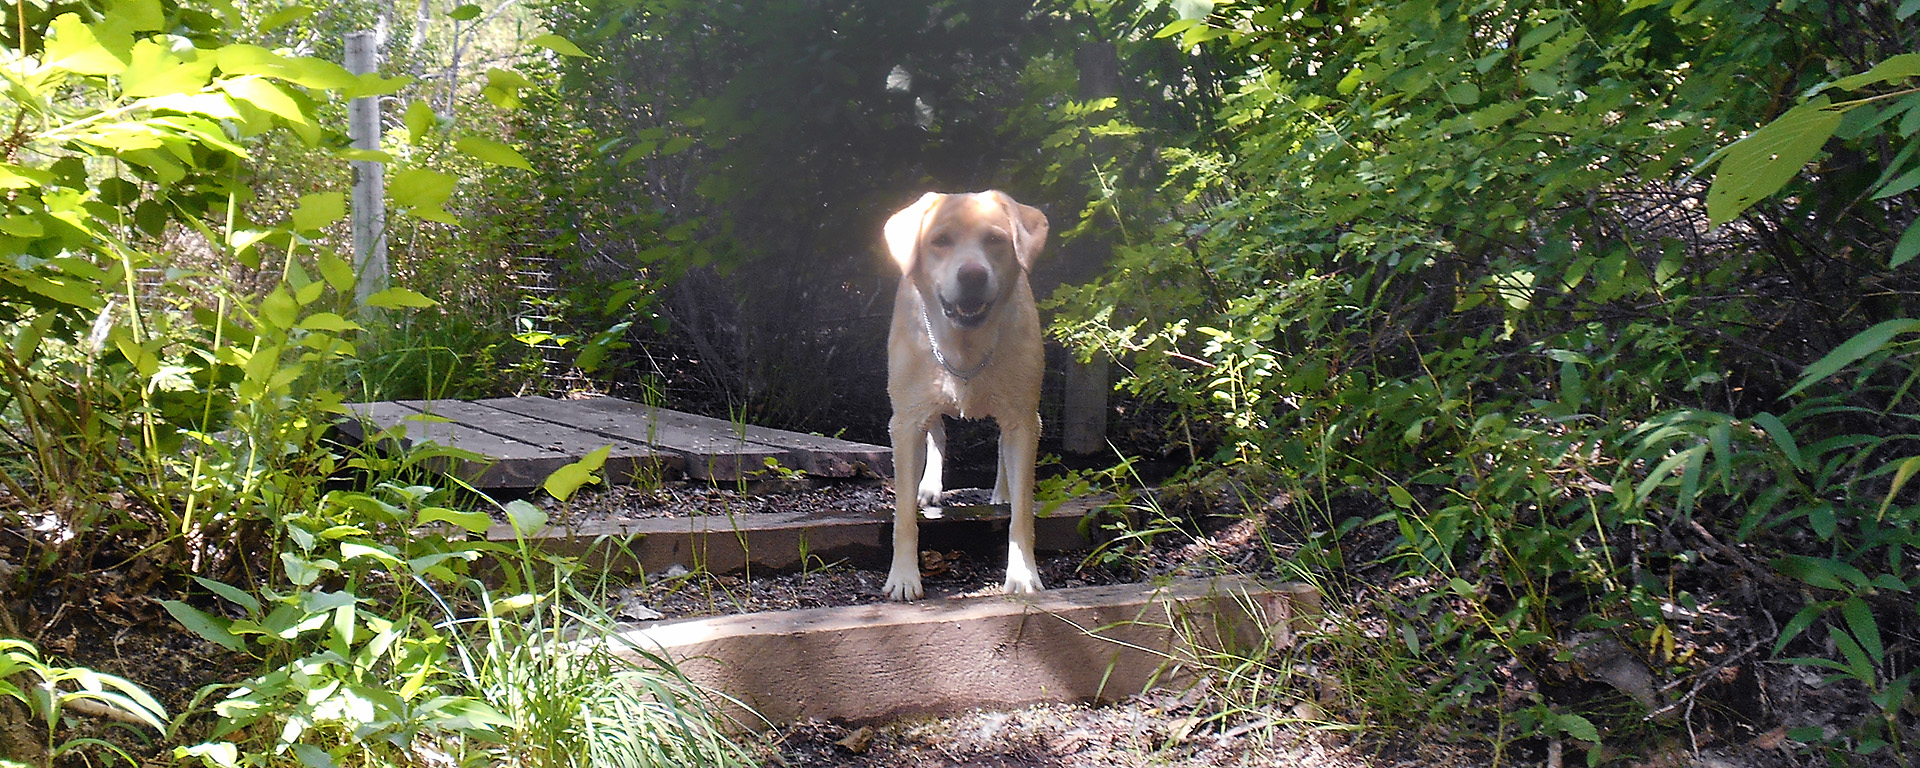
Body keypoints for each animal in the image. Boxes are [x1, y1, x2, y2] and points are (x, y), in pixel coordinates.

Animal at [883, 190, 1052, 599]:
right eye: (940, 240)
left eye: (995, 239)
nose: (973, 274)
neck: (965, 346)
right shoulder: (906, 421)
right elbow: (903, 516)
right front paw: (904, 577)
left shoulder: (1024, 418)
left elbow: (1023, 513)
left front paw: (1023, 573)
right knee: (938, 433)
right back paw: (929, 487)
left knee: (1001, 447)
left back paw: (1001, 491)